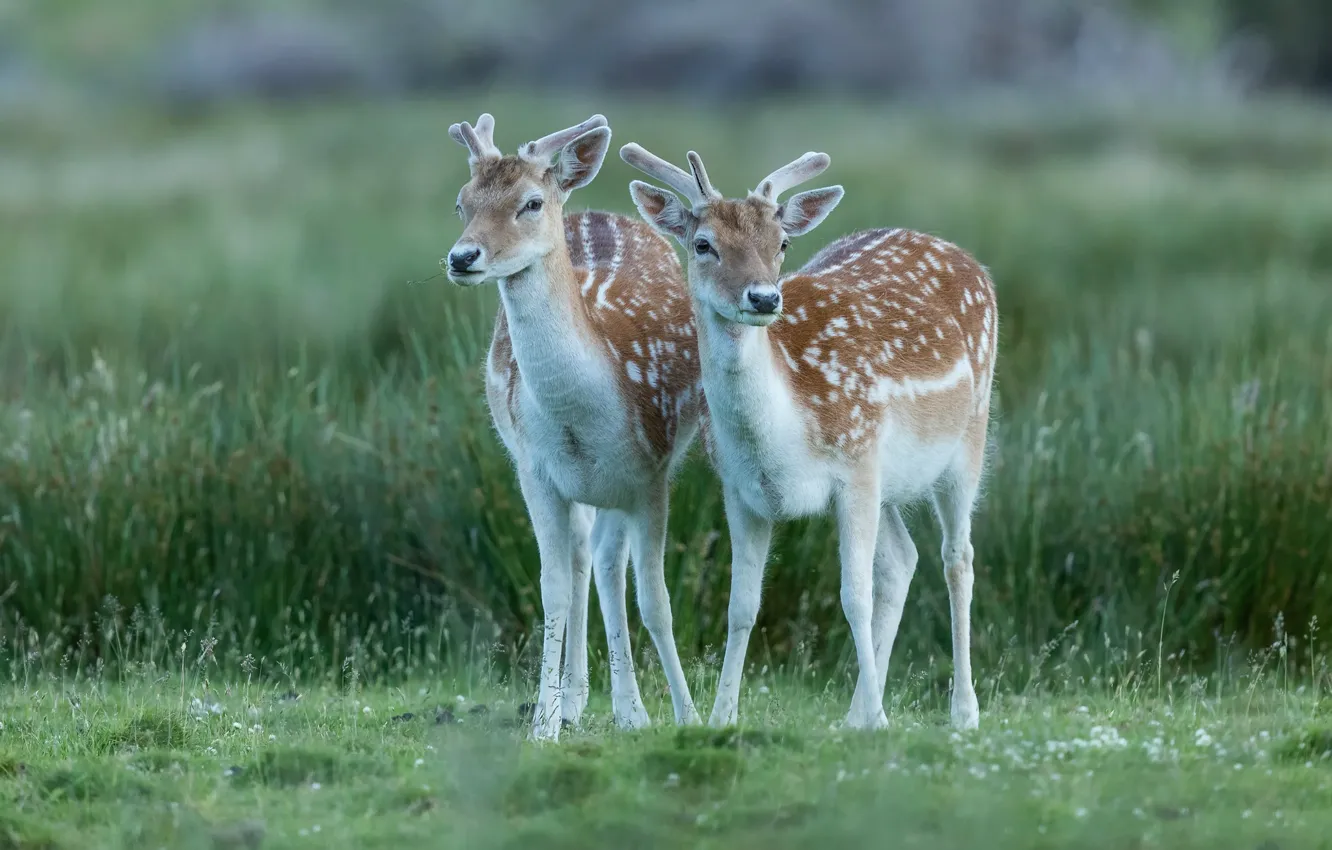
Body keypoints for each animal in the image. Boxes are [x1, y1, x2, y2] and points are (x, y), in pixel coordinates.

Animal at [444, 113, 704, 741]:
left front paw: (688, 713)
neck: (581, 413)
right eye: (462, 202)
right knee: (588, 556)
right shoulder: (535, 473)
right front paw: (543, 723)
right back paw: (580, 699)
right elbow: (553, 588)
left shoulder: (650, 471)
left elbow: (654, 596)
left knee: (609, 566)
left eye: (531, 202)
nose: (462, 257)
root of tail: (596, 210)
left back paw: (630, 709)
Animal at [619, 142, 997, 731]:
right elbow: (741, 605)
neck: (782, 431)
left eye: (782, 243)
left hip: (967, 440)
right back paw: (857, 713)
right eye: (703, 244)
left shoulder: (856, 467)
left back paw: (962, 711)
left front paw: (884, 719)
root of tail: (972, 262)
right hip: (890, 482)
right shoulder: (740, 490)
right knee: (903, 559)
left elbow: (853, 595)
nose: (763, 298)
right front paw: (721, 716)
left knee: (957, 558)